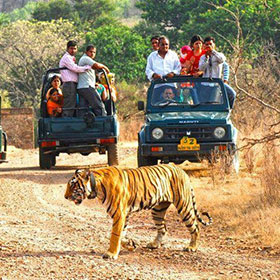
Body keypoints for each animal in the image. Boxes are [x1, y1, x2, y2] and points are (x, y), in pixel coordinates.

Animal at [64, 164, 211, 260]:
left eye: (73, 185)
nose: (65, 197)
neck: (96, 186)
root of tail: (181, 169)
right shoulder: (124, 214)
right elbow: (121, 235)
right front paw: (130, 245)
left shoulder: (119, 214)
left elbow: (114, 235)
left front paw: (111, 254)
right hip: (158, 210)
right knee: (163, 228)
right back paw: (154, 244)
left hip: (184, 206)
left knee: (195, 227)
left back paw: (192, 247)